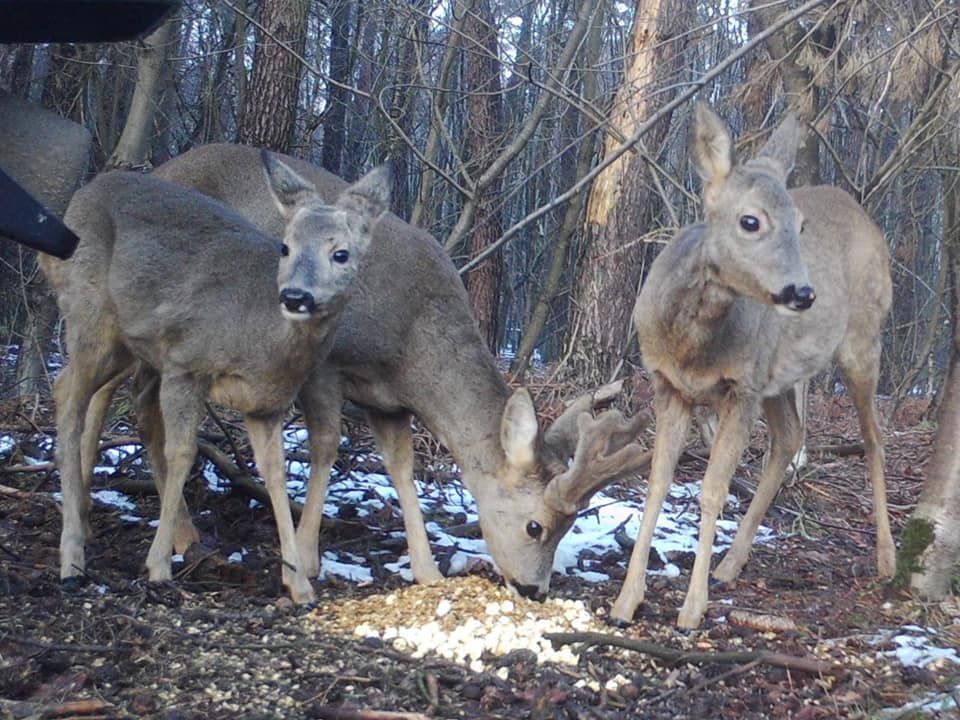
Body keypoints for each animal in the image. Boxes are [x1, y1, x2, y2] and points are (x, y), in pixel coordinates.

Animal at [41, 155, 386, 604]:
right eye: (286, 246)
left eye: (341, 253)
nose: (295, 296)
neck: (261, 337)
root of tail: (79, 197)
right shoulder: (184, 364)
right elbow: (182, 453)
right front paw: (158, 566)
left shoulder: (265, 404)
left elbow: (274, 474)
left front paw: (298, 583)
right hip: (89, 312)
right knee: (67, 393)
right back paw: (72, 558)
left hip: (125, 342)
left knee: (86, 392)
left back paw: (83, 522)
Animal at [588, 104, 896, 628]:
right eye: (750, 220)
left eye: (801, 224)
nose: (803, 292)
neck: (692, 346)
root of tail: (865, 217)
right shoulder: (669, 385)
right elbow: (656, 483)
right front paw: (626, 603)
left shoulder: (740, 388)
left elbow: (713, 491)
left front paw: (691, 611)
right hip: (776, 376)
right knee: (790, 437)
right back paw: (730, 564)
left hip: (860, 341)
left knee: (873, 439)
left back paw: (887, 558)